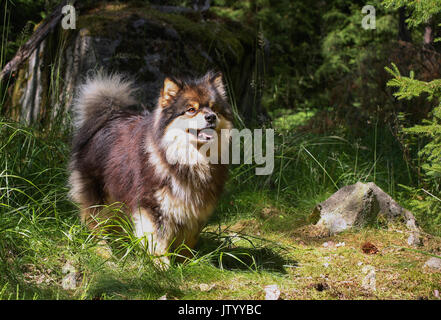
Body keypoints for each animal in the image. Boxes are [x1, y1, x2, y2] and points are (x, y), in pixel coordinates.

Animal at [68, 71, 234, 264]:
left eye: (214, 109)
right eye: (191, 110)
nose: (211, 117)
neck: (190, 159)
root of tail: (109, 115)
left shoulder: (192, 208)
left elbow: (187, 241)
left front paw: (185, 263)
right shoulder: (153, 206)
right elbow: (157, 240)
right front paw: (161, 264)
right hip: (98, 194)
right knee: (95, 224)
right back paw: (103, 250)